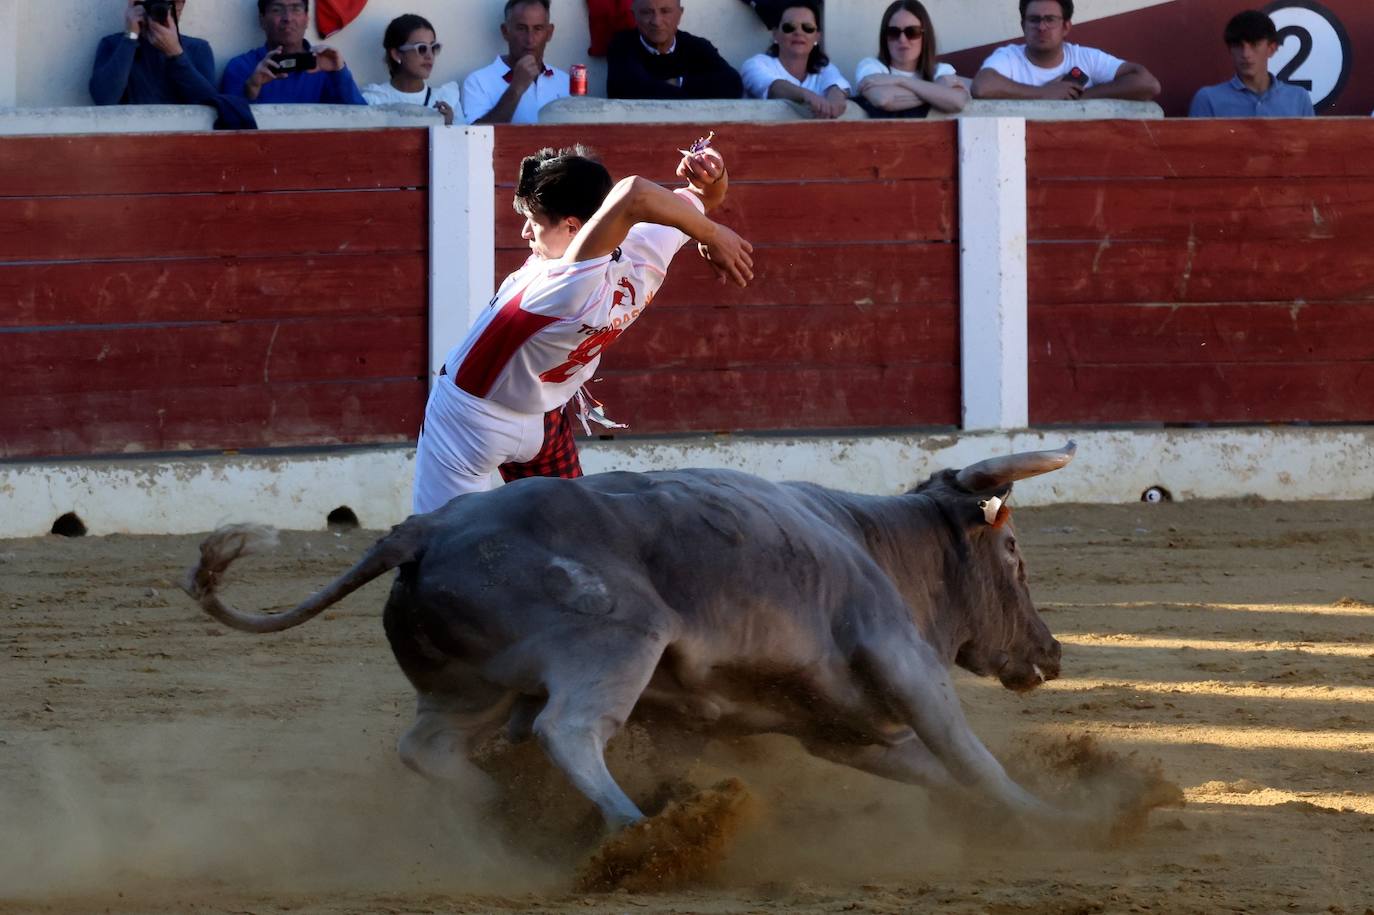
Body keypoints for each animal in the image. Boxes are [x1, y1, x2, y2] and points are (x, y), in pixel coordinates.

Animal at [182, 442, 1077, 824]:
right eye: (1015, 555)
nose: (1052, 653)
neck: (881, 544)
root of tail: (422, 529)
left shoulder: (841, 726)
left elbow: (938, 767)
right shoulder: (900, 658)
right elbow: (970, 753)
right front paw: (1058, 819)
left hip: (468, 688)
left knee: (429, 747)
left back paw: (505, 812)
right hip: (617, 642)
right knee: (567, 728)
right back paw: (634, 825)